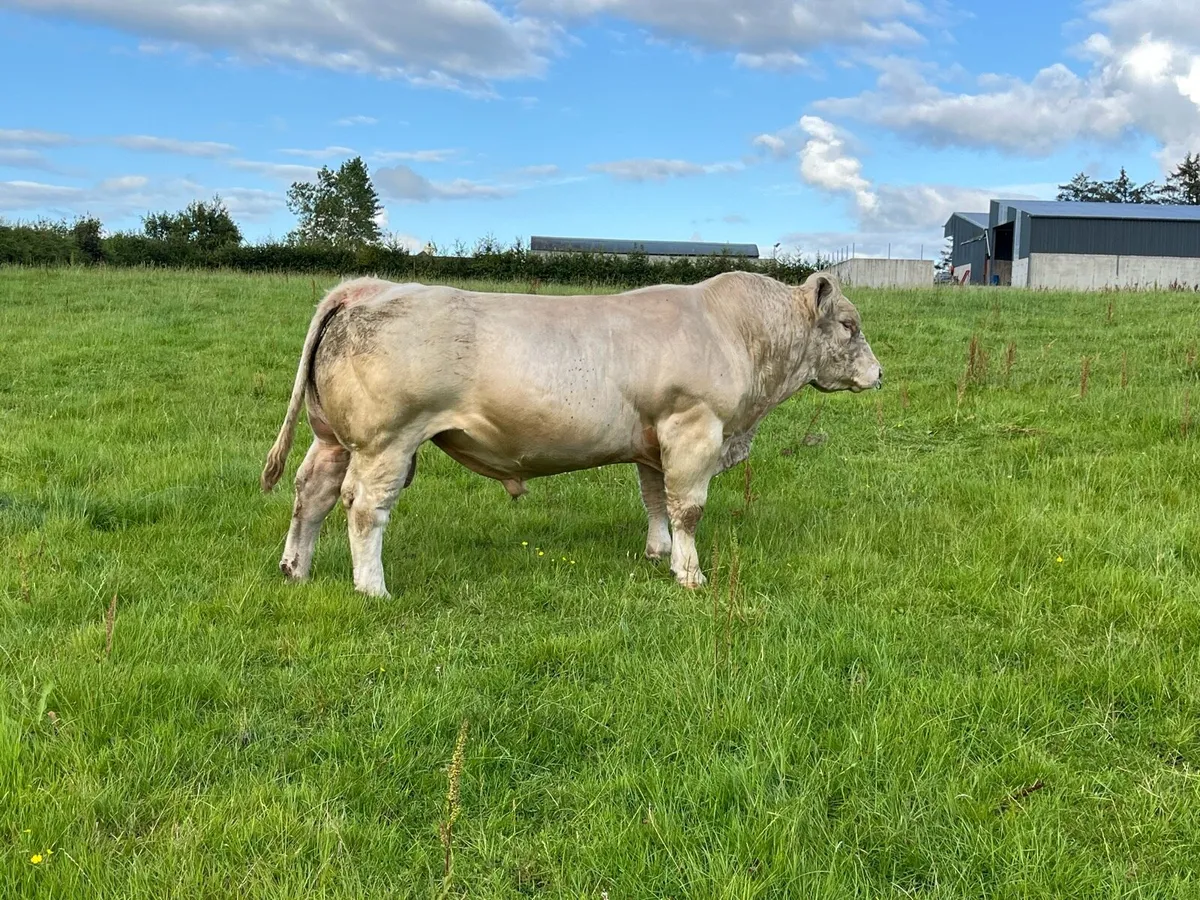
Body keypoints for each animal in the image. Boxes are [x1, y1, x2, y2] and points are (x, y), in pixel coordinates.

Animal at [260, 270, 882, 597]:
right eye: (849, 324)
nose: (878, 374)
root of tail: (369, 287)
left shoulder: (653, 440)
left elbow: (655, 499)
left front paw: (656, 552)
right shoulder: (692, 427)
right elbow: (687, 508)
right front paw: (689, 573)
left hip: (334, 437)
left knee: (312, 492)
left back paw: (296, 570)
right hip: (386, 441)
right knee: (364, 508)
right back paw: (372, 588)